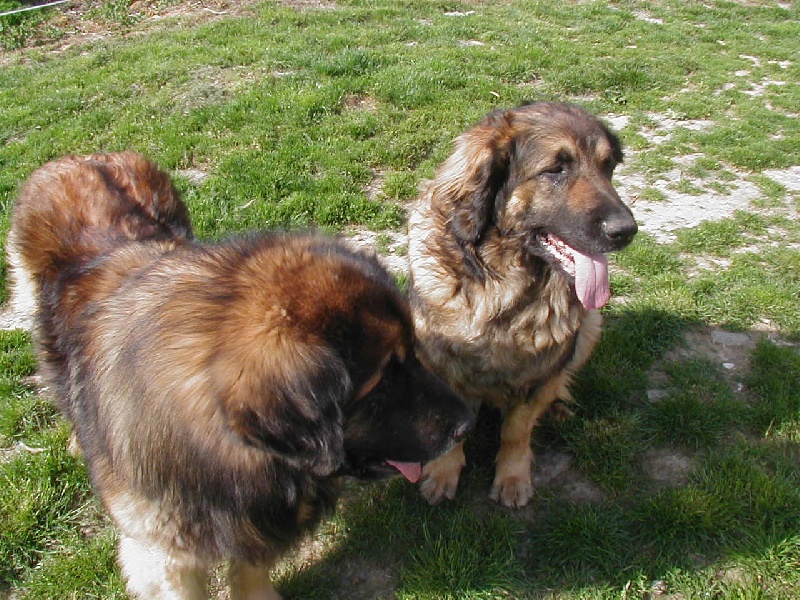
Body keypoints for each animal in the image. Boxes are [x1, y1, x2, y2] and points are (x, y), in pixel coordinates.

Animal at [7, 154, 468, 600]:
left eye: (414, 353)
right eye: (382, 382)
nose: (466, 424)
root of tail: (79, 159)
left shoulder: (257, 524)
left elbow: (250, 572)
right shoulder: (165, 555)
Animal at [406, 103, 636, 506]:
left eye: (608, 167)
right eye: (556, 169)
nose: (626, 231)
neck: (501, 285)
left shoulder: (534, 373)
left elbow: (517, 430)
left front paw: (512, 477)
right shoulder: (442, 364)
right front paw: (443, 472)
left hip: (590, 327)